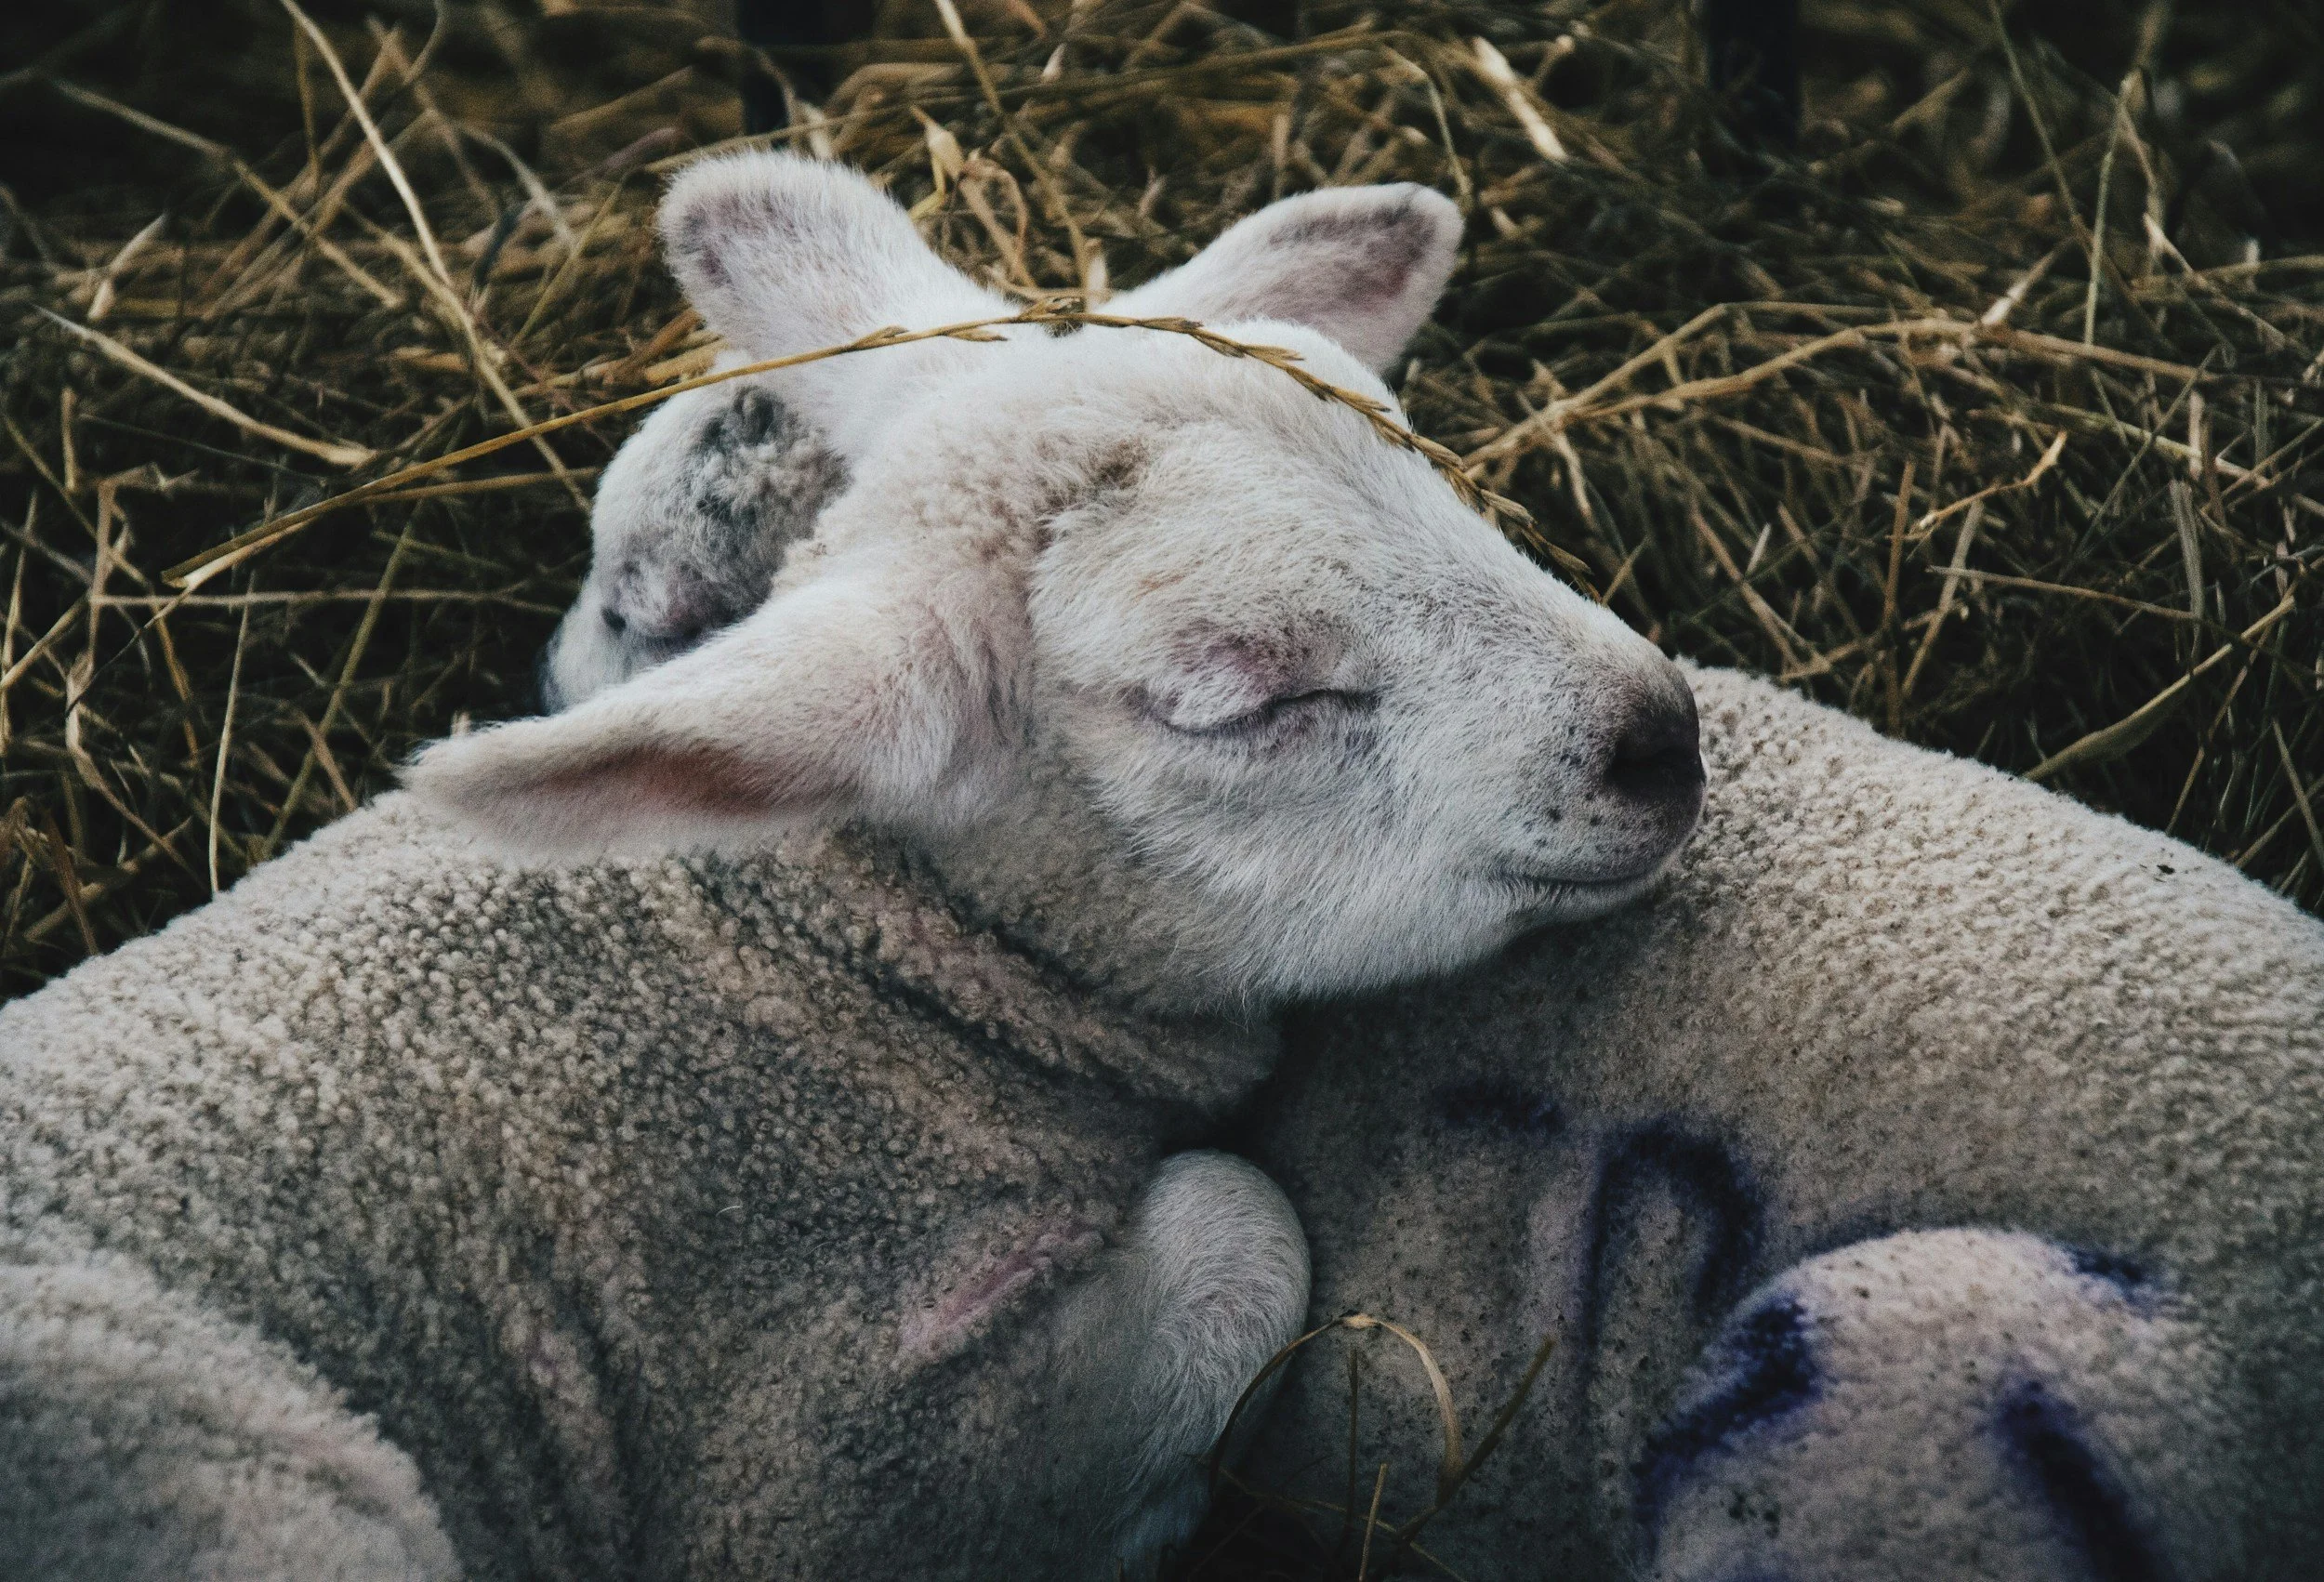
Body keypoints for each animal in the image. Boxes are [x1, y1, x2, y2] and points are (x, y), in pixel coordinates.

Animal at [0, 153, 1708, 1581]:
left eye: (1429, 469)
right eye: (1238, 696)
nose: (1664, 735)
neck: (824, 953)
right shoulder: (812, 1475)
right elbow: (1244, 1222)